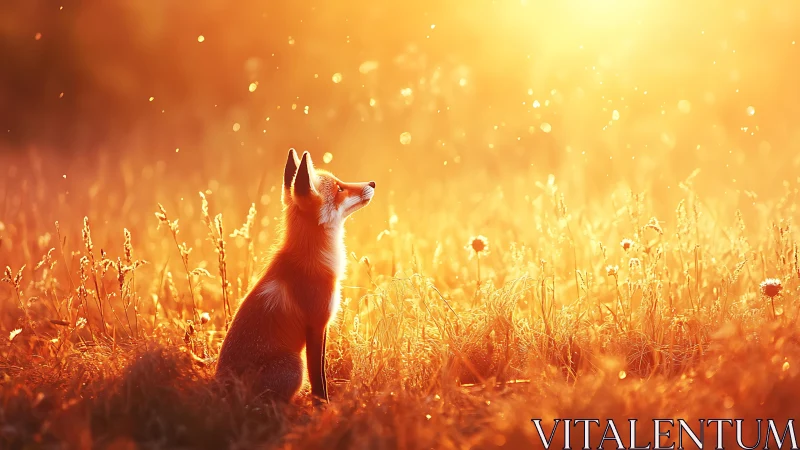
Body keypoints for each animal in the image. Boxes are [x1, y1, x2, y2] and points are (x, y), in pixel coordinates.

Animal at [215, 149, 375, 404]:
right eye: (340, 189)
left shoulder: (322, 325)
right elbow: (319, 378)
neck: (313, 258)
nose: (372, 183)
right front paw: (323, 405)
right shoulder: (317, 323)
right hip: (294, 365)